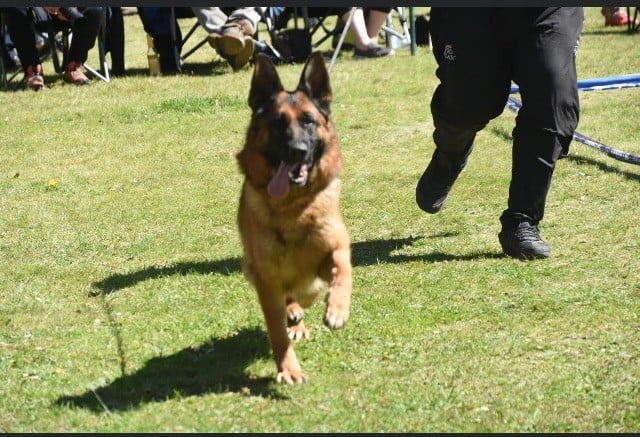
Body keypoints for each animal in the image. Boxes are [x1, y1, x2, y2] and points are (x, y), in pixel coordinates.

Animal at [238, 52, 352, 384]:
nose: (297, 151)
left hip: (311, 283)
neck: (294, 209)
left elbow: (343, 269)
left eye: (308, 121)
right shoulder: (267, 280)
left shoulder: (335, 248)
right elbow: (277, 333)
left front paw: (337, 309)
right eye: (277, 123)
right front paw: (288, 369)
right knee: (290, 301)